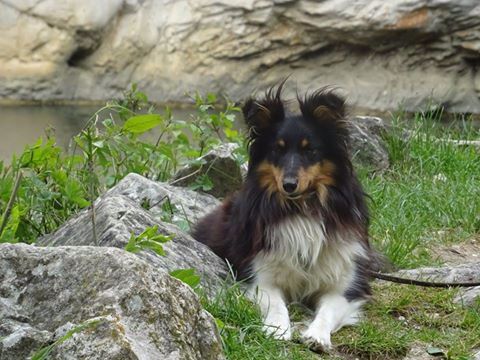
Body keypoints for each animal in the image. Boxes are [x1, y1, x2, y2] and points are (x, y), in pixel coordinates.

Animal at [193, 83, 374, 350]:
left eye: (310, 150)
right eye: (276, 150)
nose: (289, 185)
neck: (300, 207)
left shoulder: (345, 285)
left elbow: (327, 310)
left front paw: (317, 336)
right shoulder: (261, 276)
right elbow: (277, 305)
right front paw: (278, 330)